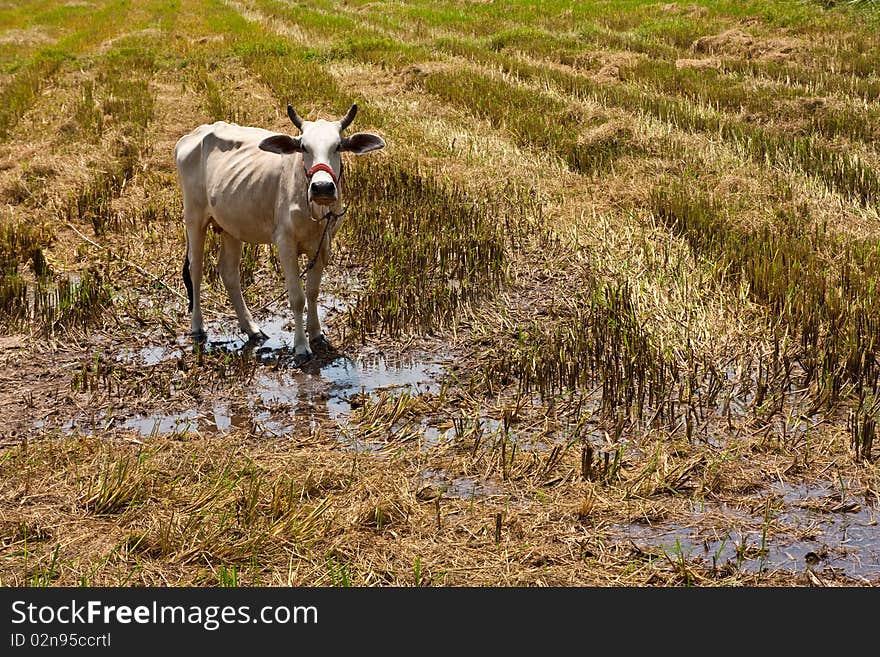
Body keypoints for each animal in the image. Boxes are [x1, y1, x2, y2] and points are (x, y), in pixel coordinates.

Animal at [175, 104, 384, 358]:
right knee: (195, 269)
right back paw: (198, 326)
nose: (322, 187)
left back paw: (251, 328)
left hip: (231, 226)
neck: (314, 209)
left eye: (338, 146)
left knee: (229, 273)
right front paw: (301, 346)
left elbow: (313, 291)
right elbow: (297, 297)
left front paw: (316, 333)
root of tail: (193, 135)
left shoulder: (323, 244)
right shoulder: (285, 243)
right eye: (303, 147)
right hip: (194, 218)